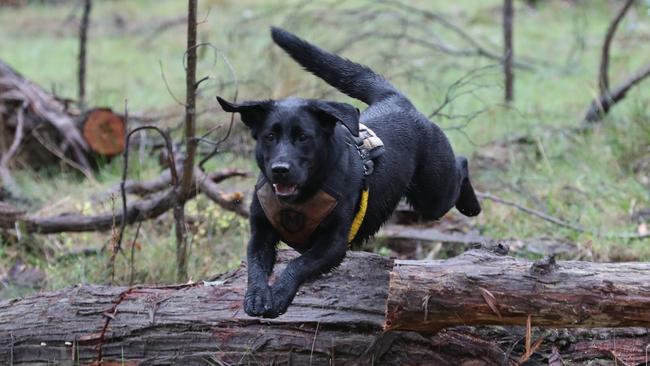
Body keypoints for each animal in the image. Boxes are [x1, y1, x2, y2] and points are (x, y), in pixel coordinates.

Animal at [215, 27, 478, 318]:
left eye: (303, 137)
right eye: (269, 136)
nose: (280, 170)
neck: (302, 198)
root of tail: (397, 100)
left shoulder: (333, 245)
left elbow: (297, 264)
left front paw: (280, 294)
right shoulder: (260, 234)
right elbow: (256, 265)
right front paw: (258, 295)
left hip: (433, 194)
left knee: (462, 163)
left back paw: (471, 204)